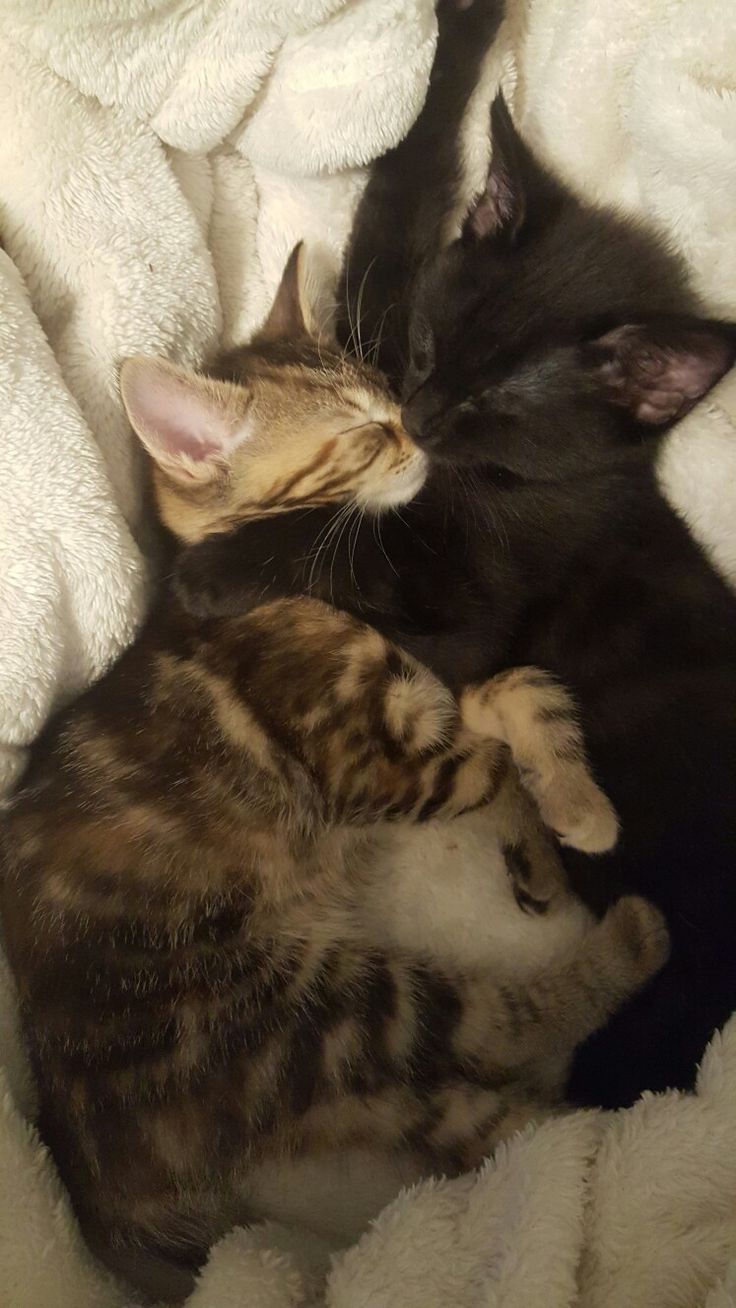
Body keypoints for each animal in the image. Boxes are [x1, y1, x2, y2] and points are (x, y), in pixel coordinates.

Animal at [1, 249, 669, 1302]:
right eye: (359, 433)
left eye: (389, 394)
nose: (415, 433)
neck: (312, 582)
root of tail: (91, 1167)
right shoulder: (368, 763)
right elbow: (486, 766)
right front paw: (572, 823)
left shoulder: (431, 697)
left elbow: (514, 692)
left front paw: (558, 827)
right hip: (317, 1010)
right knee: (486, 1029)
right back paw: (631, 951)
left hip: (348, 1066)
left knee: (472, 1123)